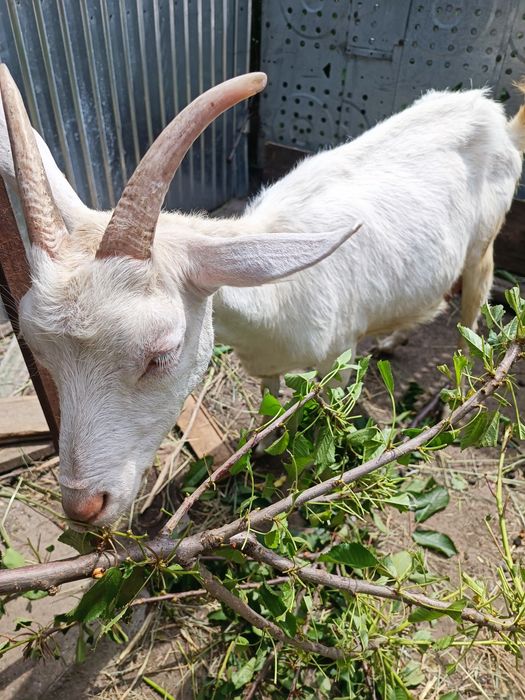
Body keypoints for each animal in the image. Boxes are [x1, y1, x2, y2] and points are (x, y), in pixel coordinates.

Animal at [0, 65, 523, 526]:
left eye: (162, 354)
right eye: (40, 353)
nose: (83, 506)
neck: (274, 299)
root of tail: (491, 111)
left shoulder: (336, 360)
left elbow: (329, 415)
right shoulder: (264, 361)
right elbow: (270, 394)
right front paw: (267, 444)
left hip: (485, 239)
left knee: (474, 305)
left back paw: (458, 397)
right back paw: (393, 342)